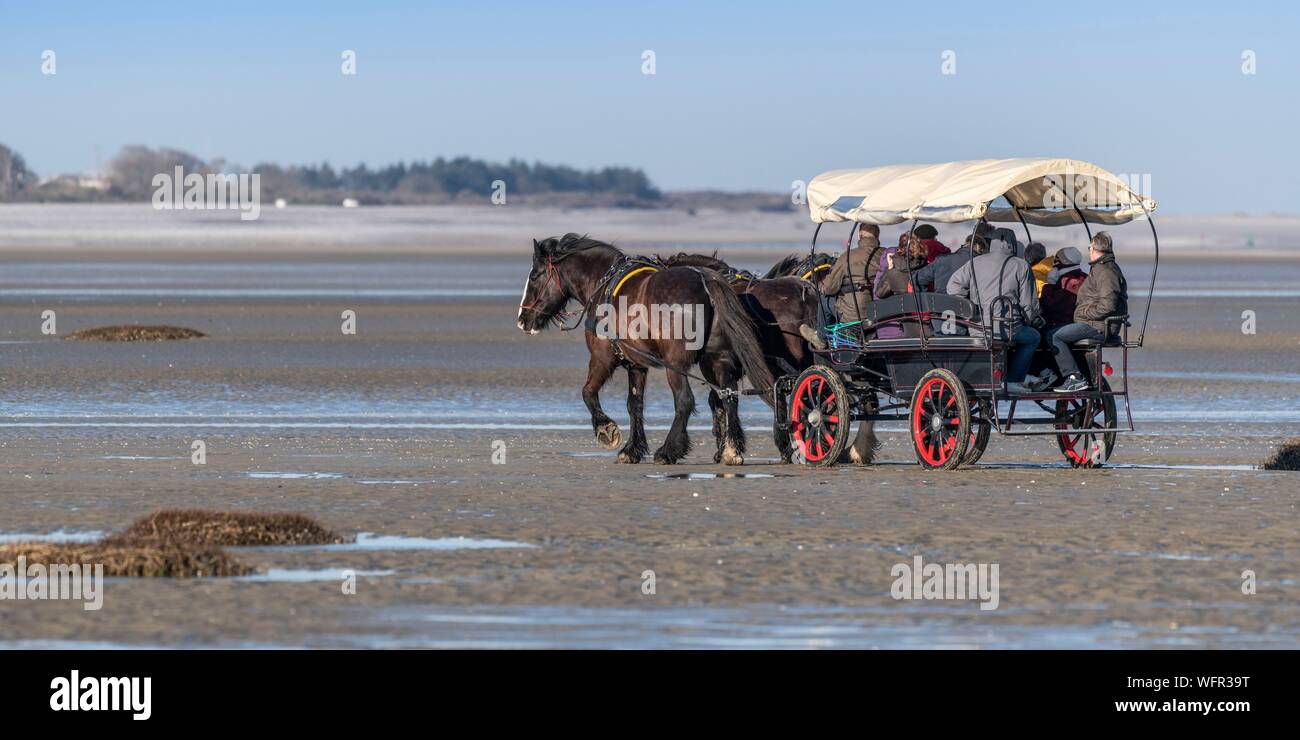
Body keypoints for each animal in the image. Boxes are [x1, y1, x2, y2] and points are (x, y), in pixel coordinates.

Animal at [517, 234, 775, 465]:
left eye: (534, 276)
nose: (522, 320)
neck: (602, 285)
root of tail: (706, 280)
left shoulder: (602, 358)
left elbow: (588, 392)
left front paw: (606, 430)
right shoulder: (636, 364)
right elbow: (634, 405)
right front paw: (632, 449)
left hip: (676, 365)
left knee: (685, 401)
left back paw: (668, 450)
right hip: (717, 360)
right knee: (728, 396)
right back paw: (731, 451)